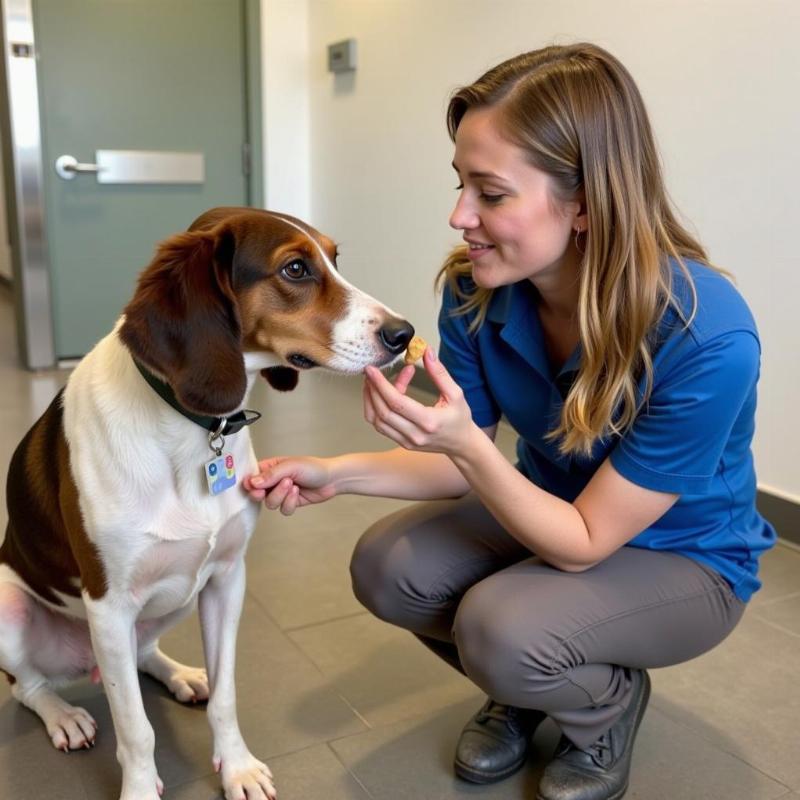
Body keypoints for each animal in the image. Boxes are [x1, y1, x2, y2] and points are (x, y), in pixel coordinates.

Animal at [0, 208, 412, 800]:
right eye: (295, 268)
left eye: (335, 258)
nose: (405, 333)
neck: (193, 426)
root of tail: (81, 663)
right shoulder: (108, 604)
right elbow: (136, 729)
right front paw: (140, 790)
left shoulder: (225, 579)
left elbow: (226, 696)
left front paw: (236, 767)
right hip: (12, 608)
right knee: (28, 685)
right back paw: (64, 715)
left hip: (174, 600)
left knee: (141, 654)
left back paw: (180, 675)